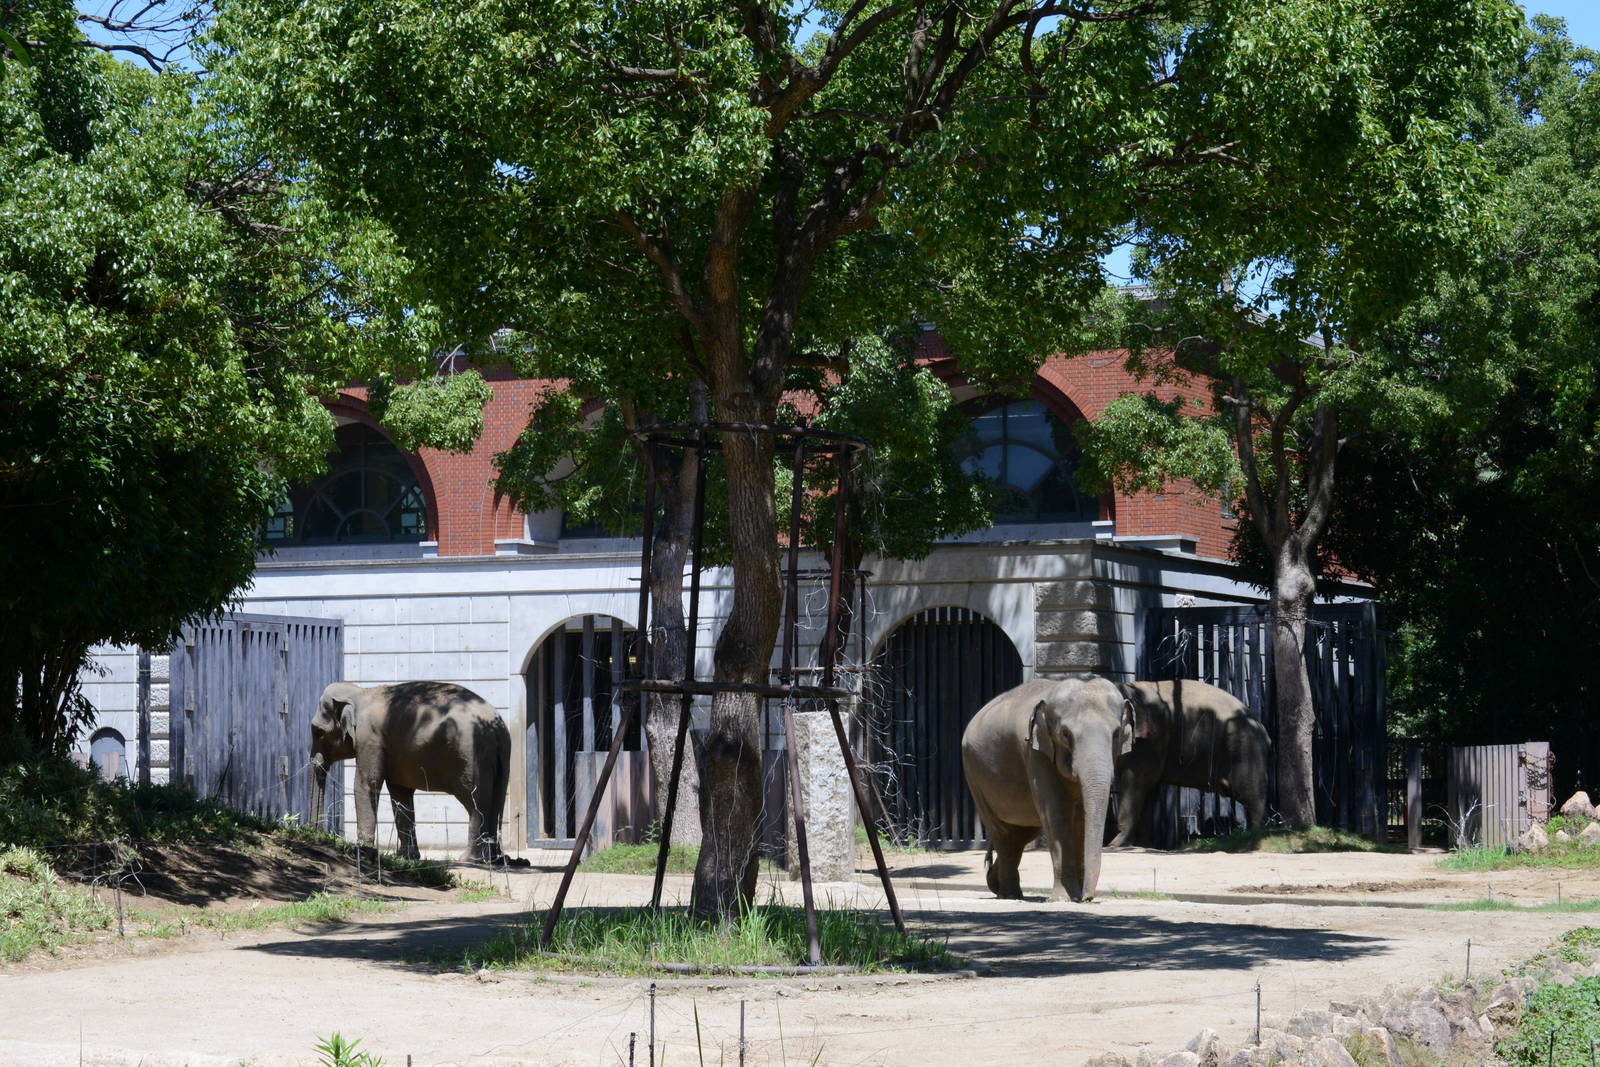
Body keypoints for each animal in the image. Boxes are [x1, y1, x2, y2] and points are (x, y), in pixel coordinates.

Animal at [309, 680, 515, 864]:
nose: (316, 833)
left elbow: (367, 784)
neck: (360, 692)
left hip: (471, 756)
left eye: (317, 731)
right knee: (497, 802)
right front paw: (406, 857)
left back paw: (470, 859)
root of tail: (496, 726)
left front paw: (362, 850)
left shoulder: (370, 737)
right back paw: (495, 858)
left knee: (475, 803)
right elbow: (401, 795)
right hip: (501, 756)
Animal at [961, 675, 1135, 902]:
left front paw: (1075, 896)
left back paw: (995, 882)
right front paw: (1064, 899)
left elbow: (1080, 819)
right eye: (1066, 734)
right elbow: (1057, 814)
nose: (1088, 897)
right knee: (1003, 834)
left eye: (1116, 734)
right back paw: (1009, 894)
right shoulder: (1035, 753)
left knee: (1021, 834)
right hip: (974, 776)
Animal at [1110, 678, 1271, 846]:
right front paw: (1140, 845)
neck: (1129, 687)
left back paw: (1256, 833)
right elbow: (1146, 788)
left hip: (1245, 748)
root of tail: (1263, 729)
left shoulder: (1151, 740)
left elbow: (1136, 782)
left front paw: (1115, 844)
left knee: (1250, 794)